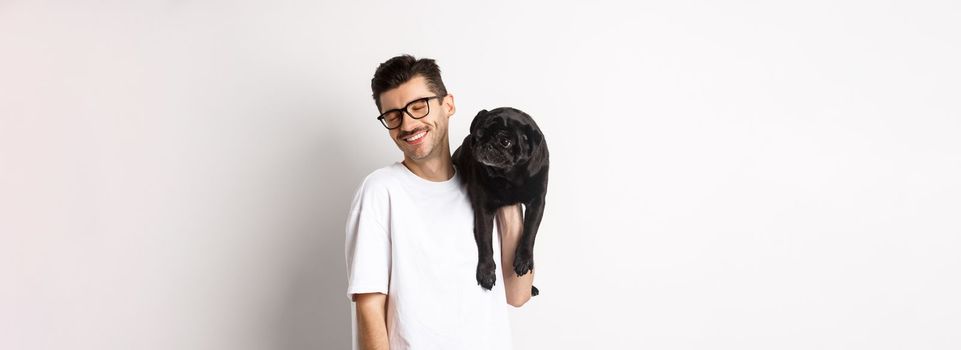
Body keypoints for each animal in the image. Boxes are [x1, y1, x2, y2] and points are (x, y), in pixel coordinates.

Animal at [452, 106, 548, 296]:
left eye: (505, 141)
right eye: (478, 135)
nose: (486, 144)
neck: (510, 176)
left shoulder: (537, 202)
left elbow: (530, 231)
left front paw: (524, 259)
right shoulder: (484, 209)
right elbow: (485, 241)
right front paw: (487, 272)